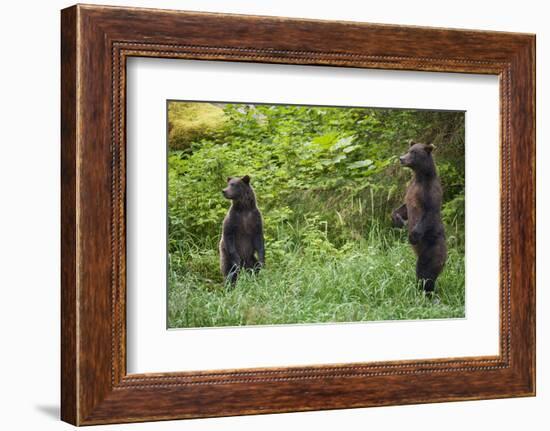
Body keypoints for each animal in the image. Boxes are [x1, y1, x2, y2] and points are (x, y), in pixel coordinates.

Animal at [392, 143, 448, 296]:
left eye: (414, 153)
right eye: (408, 150)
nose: (401, 158)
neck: (420, 176)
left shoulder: (430, 191)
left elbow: (430, 212)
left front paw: (412, 236)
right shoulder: (411, 188)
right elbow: (404, 207)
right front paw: (396, 218)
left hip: (432, 249)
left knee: (426, 273)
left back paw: (428, 294)